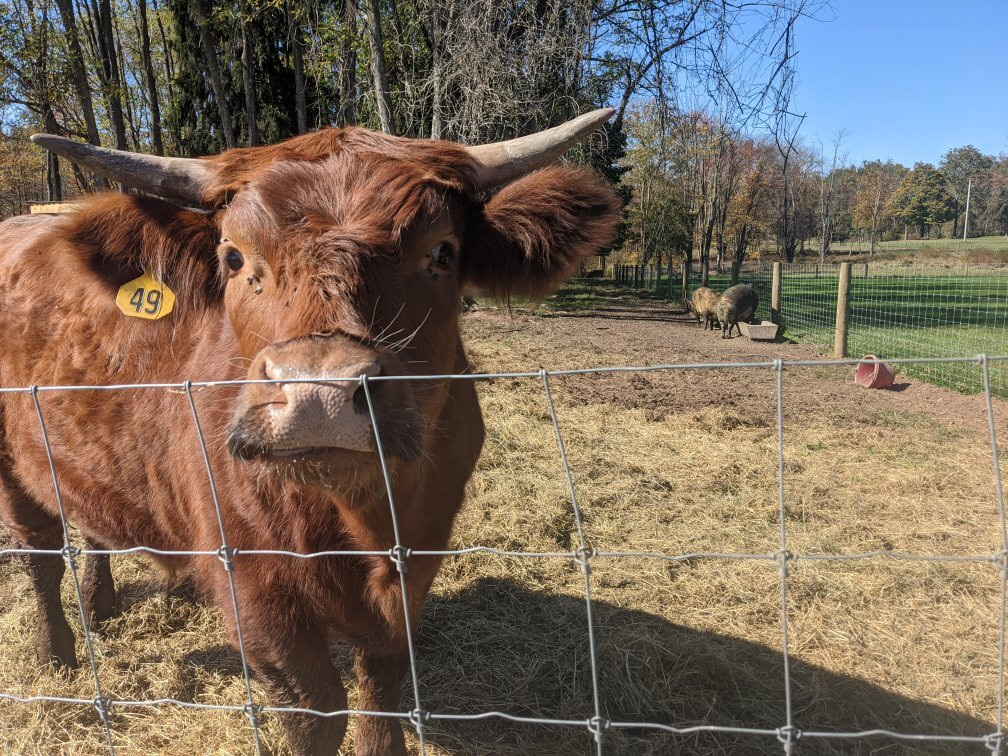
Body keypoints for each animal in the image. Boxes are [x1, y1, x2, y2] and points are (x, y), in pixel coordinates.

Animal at [0, 112, 616, 756]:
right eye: (234, 258)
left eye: (442, 252)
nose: (319, 397)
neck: (360, 520)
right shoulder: (254, 589)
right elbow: (314, 712)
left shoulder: (417, 564)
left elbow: (381, 688)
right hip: (11, 464)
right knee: (39, 554)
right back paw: (57, 654)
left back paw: (101, 606)